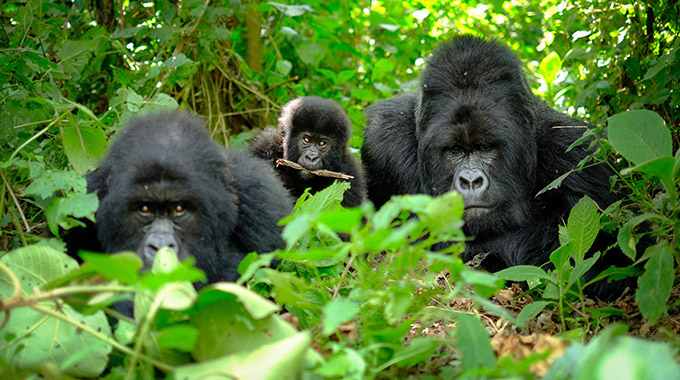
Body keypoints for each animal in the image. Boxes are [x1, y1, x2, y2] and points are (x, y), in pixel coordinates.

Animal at [362, 35, 632, 296]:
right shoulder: (384, 140)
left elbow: (611, 260)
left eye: (485, 148)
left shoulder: (580, 155)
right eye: (455, 151)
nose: (470, 181)